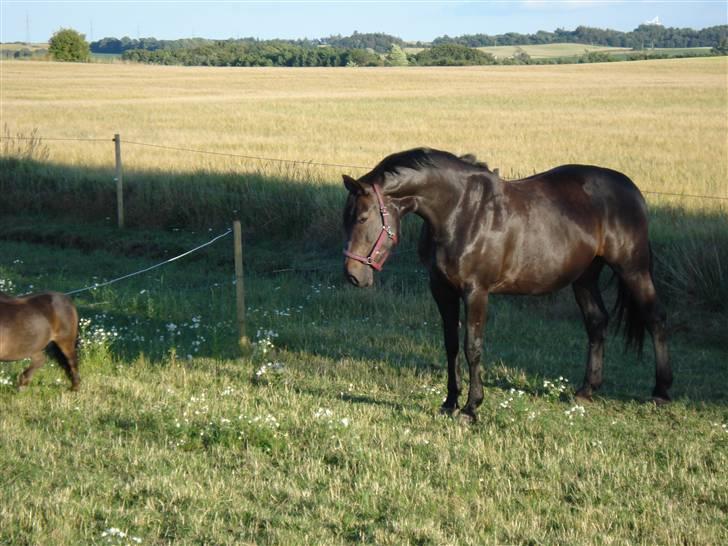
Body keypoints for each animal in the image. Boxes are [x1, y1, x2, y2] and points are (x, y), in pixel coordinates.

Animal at [344, 147, 672, 418]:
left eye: (362, 218)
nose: (352, 274)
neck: (461, 211)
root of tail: (631, 189)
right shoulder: (442, 290)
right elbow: (451, 345)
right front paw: (449, 402)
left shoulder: (476, 291)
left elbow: (472, 346)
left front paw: (471, 408)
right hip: (585, 277)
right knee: (596, 322)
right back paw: (586, 390)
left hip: (633, 268)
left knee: (655, 319)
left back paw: (661, 392)